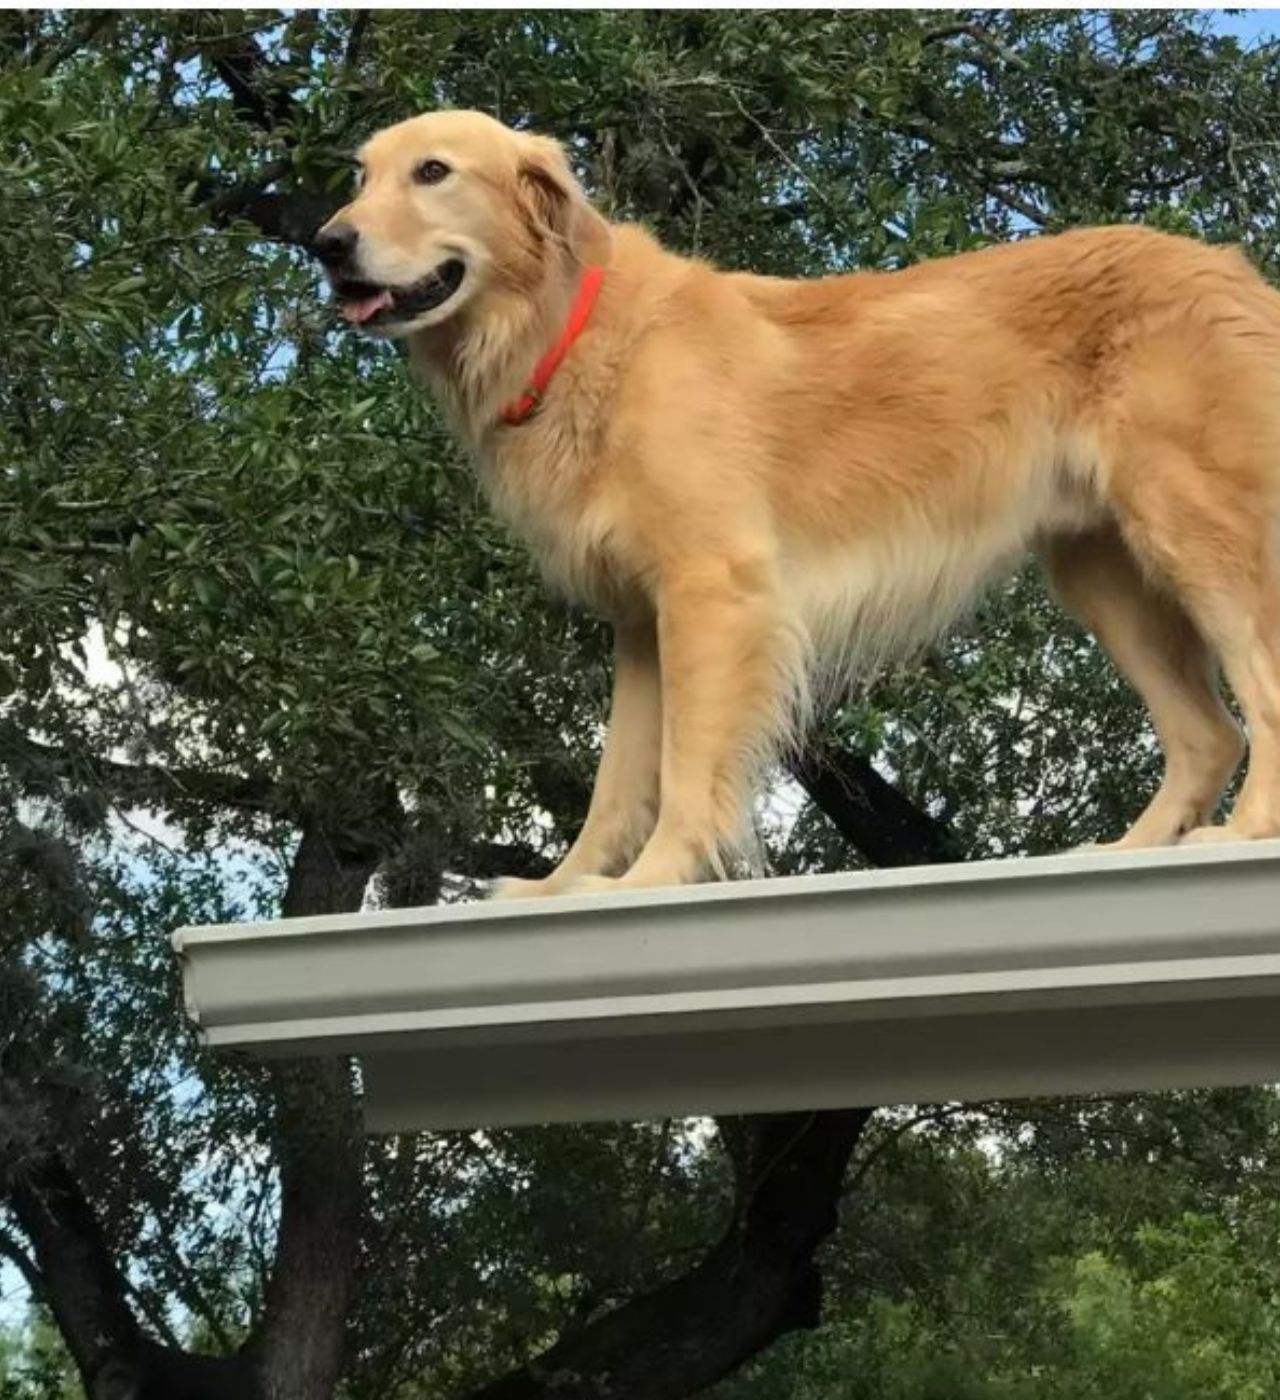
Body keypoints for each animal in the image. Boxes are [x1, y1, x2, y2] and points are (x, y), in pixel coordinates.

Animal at [316, 109, 1277, 896]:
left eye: (433, 171)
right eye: (360, 174)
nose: (327, 243)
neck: (572, 328)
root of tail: (1233, 272)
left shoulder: (714, 591)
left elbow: (689, 768)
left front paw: (656, 876)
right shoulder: (641, 622)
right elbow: (617, 780)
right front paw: (563, 886)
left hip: (1195, 532)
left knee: (1259, 697)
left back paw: (1240, 833)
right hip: (1102, 570)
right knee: (1208, 736)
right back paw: (1129, 850)